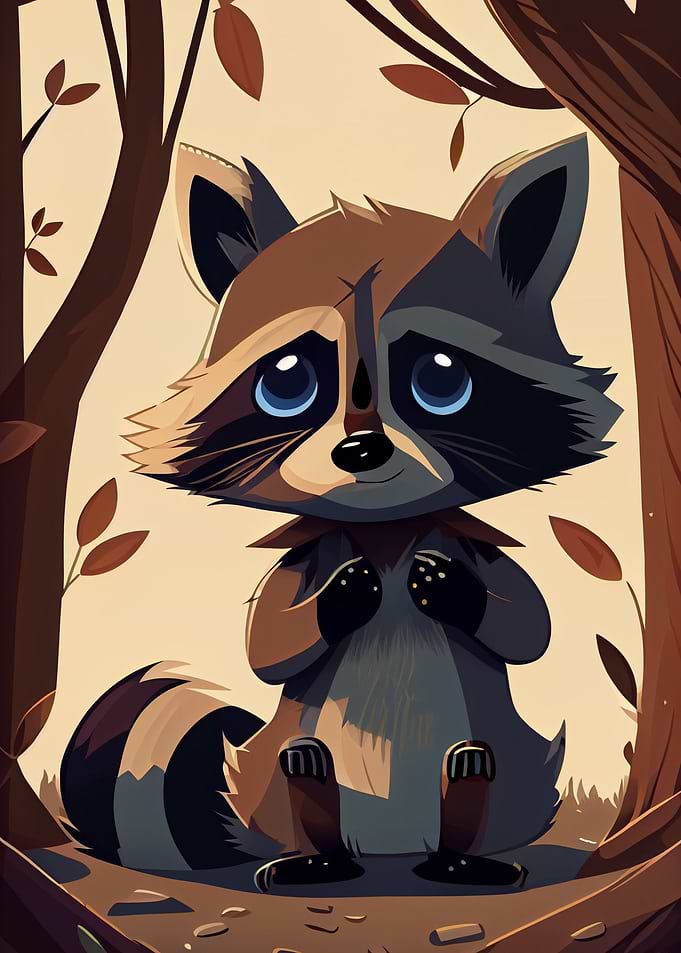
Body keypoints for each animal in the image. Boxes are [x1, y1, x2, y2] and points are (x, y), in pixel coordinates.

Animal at [60, 135, 620, 891]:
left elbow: (528, 624)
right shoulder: (313, 553)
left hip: (514, 778)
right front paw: (342, 596)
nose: (361, 449)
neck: (385, 530)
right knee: (301, 762)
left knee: (478, 765)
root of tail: (392, 847)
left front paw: (454, 590)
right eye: (289, 380)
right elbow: (268, 643)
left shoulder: (460, 542)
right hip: (270, 781)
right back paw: (318, 854)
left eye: (440, 377)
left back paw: (461, 855)